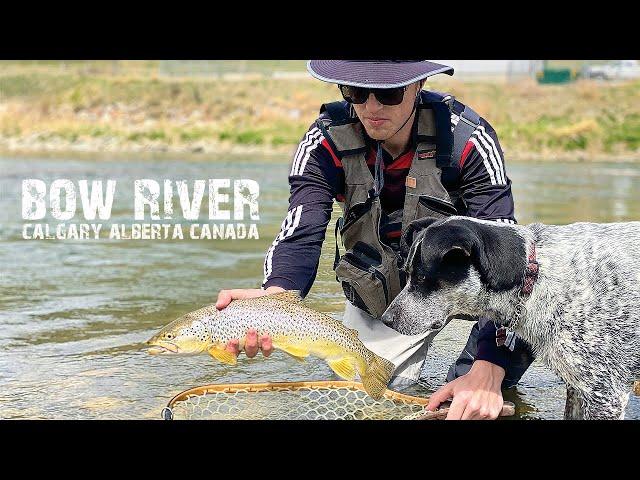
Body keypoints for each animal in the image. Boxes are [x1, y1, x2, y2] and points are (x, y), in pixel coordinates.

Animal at [380, 216, 640, 418]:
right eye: (406, 274)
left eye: (421, 278)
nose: (386, 319)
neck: (534, 276)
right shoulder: (577, 388)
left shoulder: (605, 393)